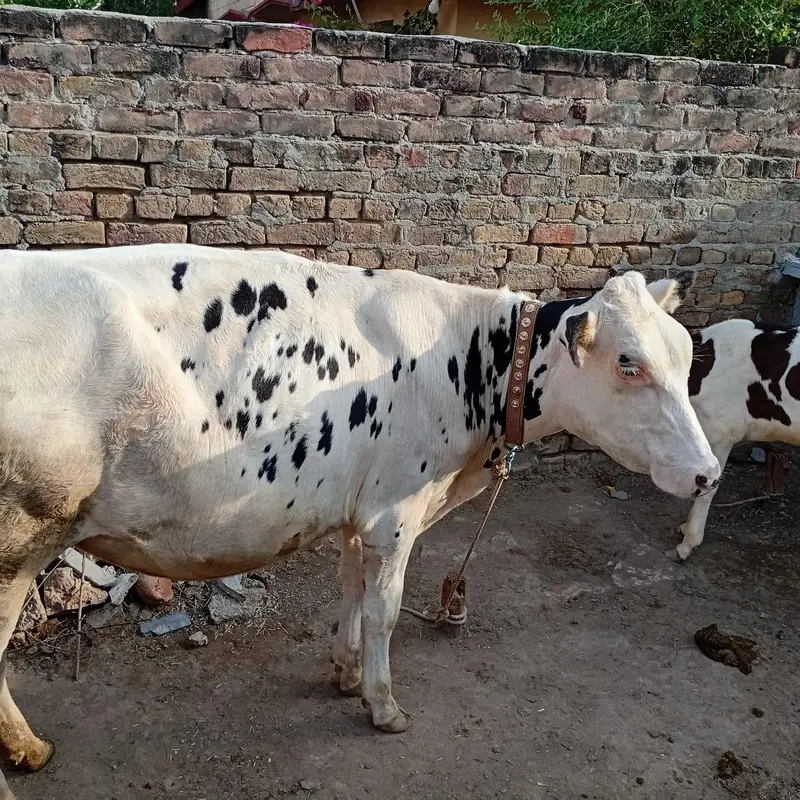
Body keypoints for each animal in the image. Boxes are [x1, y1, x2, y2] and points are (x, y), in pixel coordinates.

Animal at [0, 244, 719, 795]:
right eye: (629, 363)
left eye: (687, 353)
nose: (709, 472)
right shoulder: (394, 512)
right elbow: (385, 612)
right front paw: (383, 704)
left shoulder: (359, 509)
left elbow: (349, 591)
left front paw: (344, 675)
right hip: (19, 539)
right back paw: (26, 753)